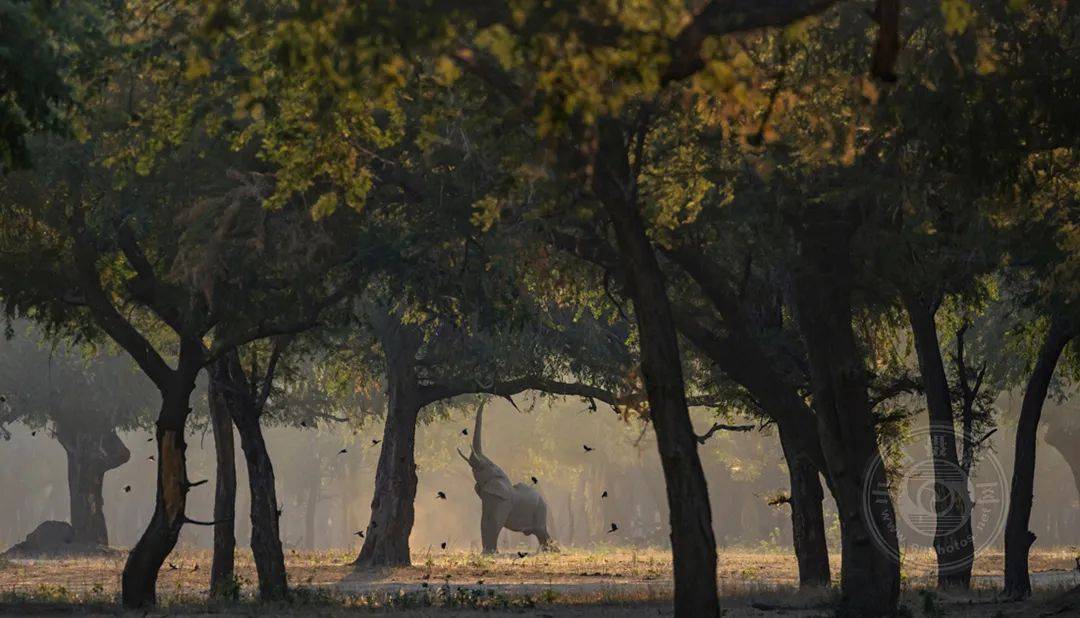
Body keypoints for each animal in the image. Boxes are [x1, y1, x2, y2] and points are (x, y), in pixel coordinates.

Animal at [457, 404, 557, 553]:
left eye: (484, 467)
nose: (484, 400)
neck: (501, 477)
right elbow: (484, 520)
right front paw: (487, 553)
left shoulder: (504, 501)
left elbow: (494, 522)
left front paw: (490, 553)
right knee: (540, 532)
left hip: (540, 509)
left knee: (540, 530)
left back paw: (552, 551)